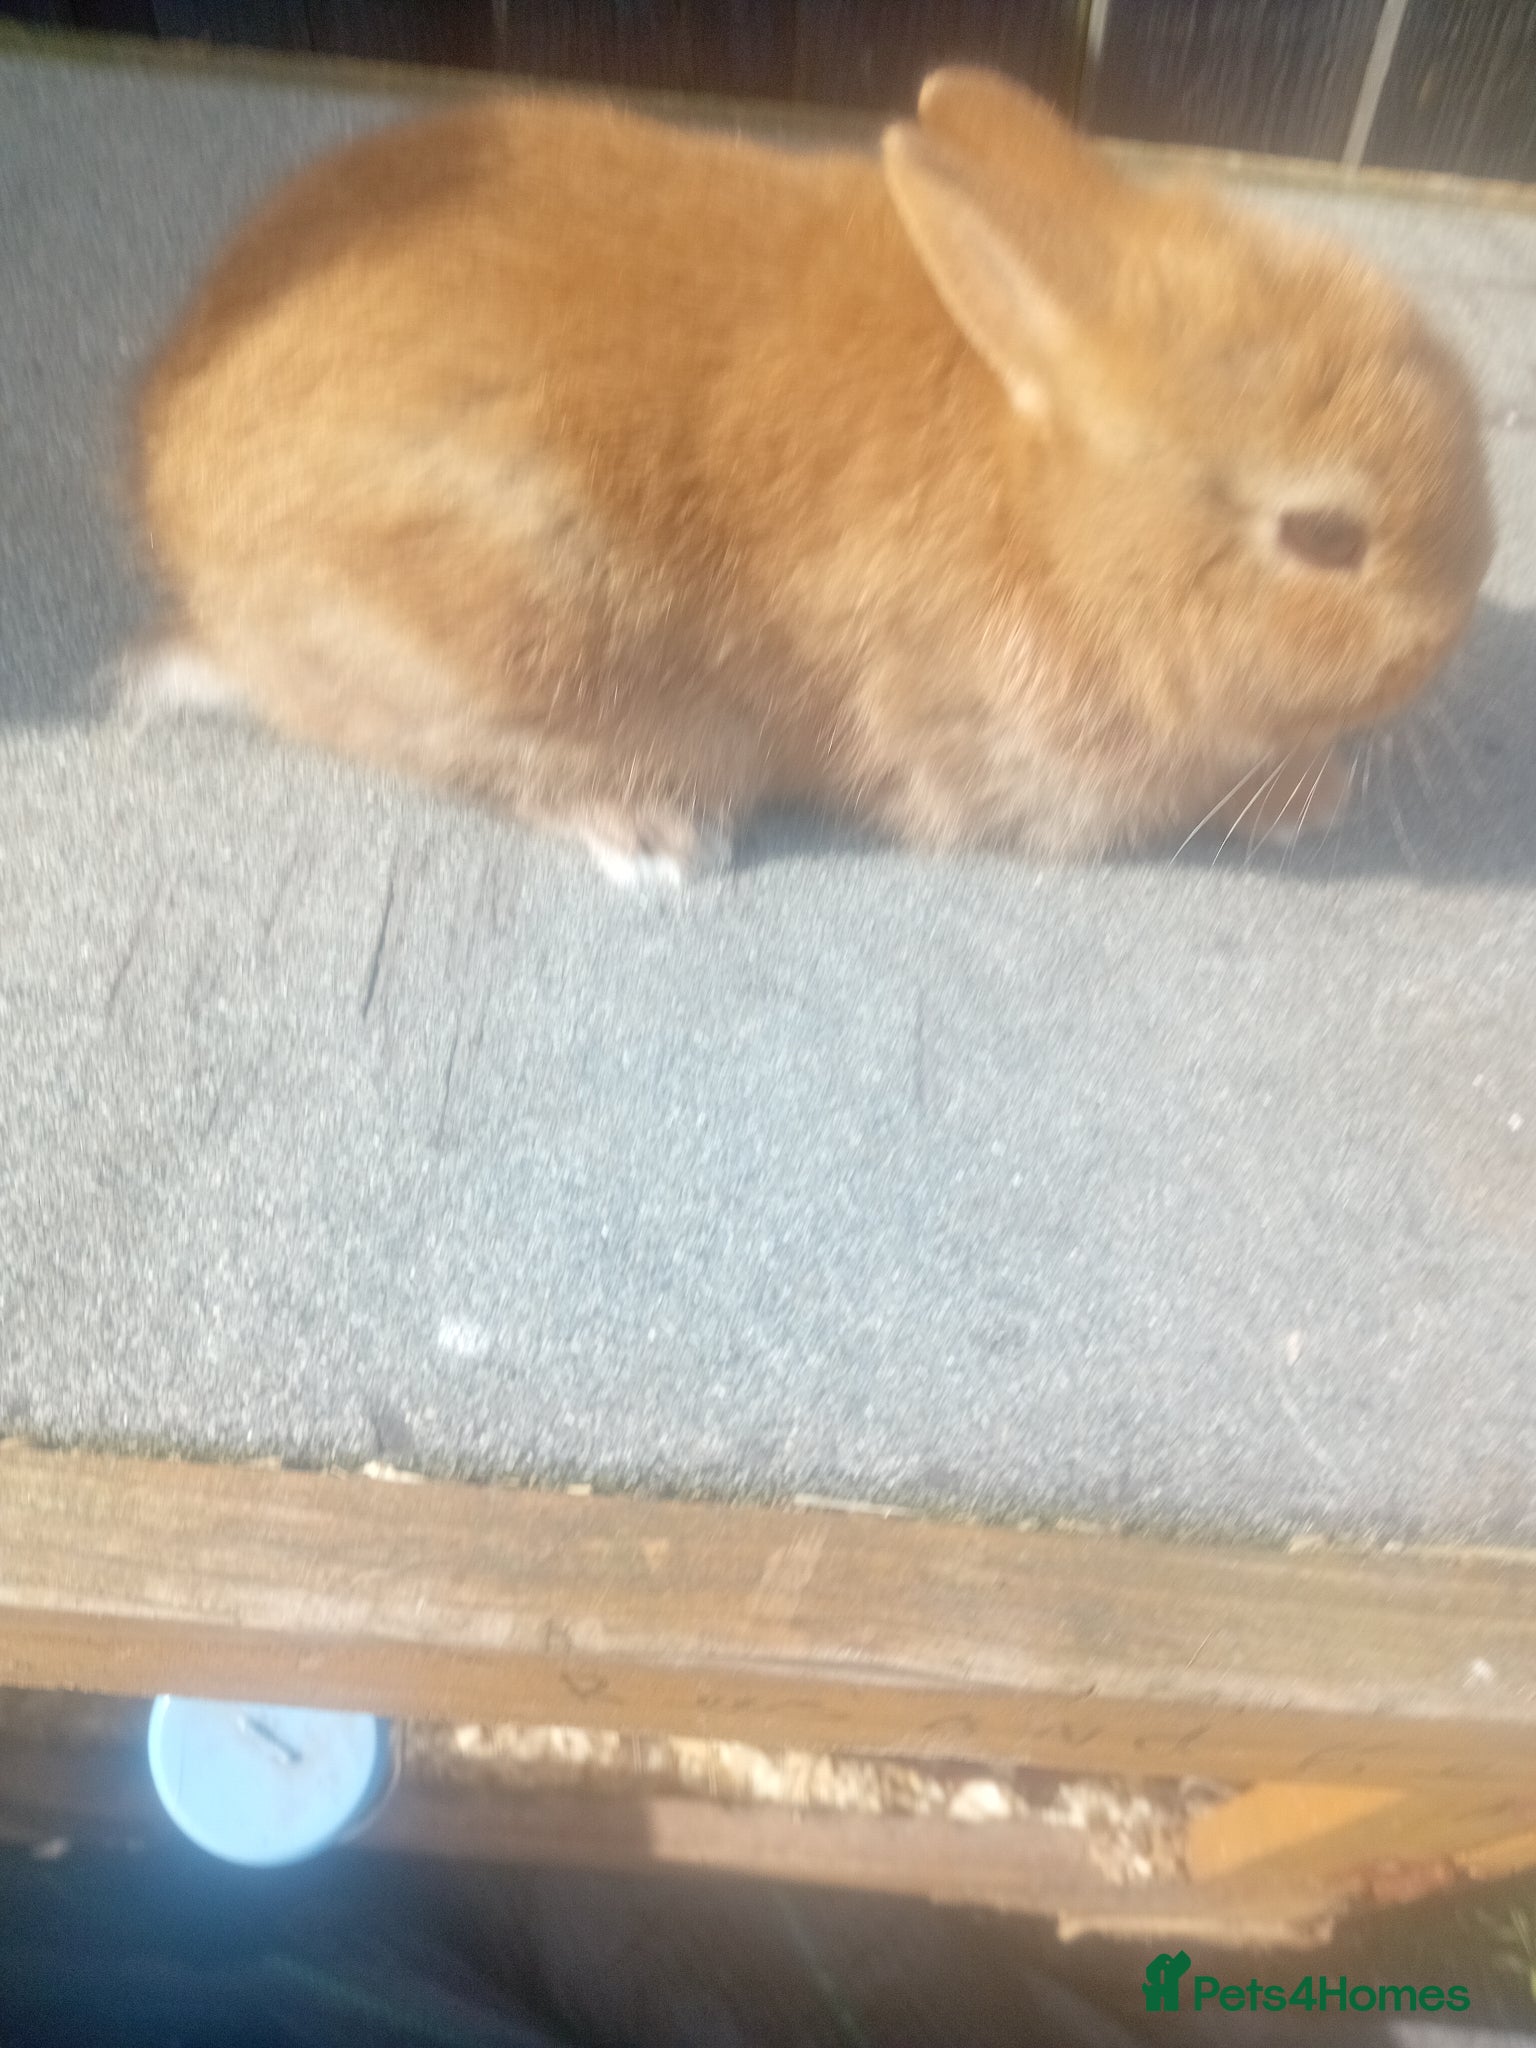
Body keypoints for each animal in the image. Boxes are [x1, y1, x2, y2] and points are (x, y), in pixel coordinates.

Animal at [131, 66, 1493, 883]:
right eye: (1324, 537)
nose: (1455, 621)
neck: (1054, 523)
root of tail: (181, 517)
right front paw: (1308, 795)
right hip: (505, 631)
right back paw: (656, 834)